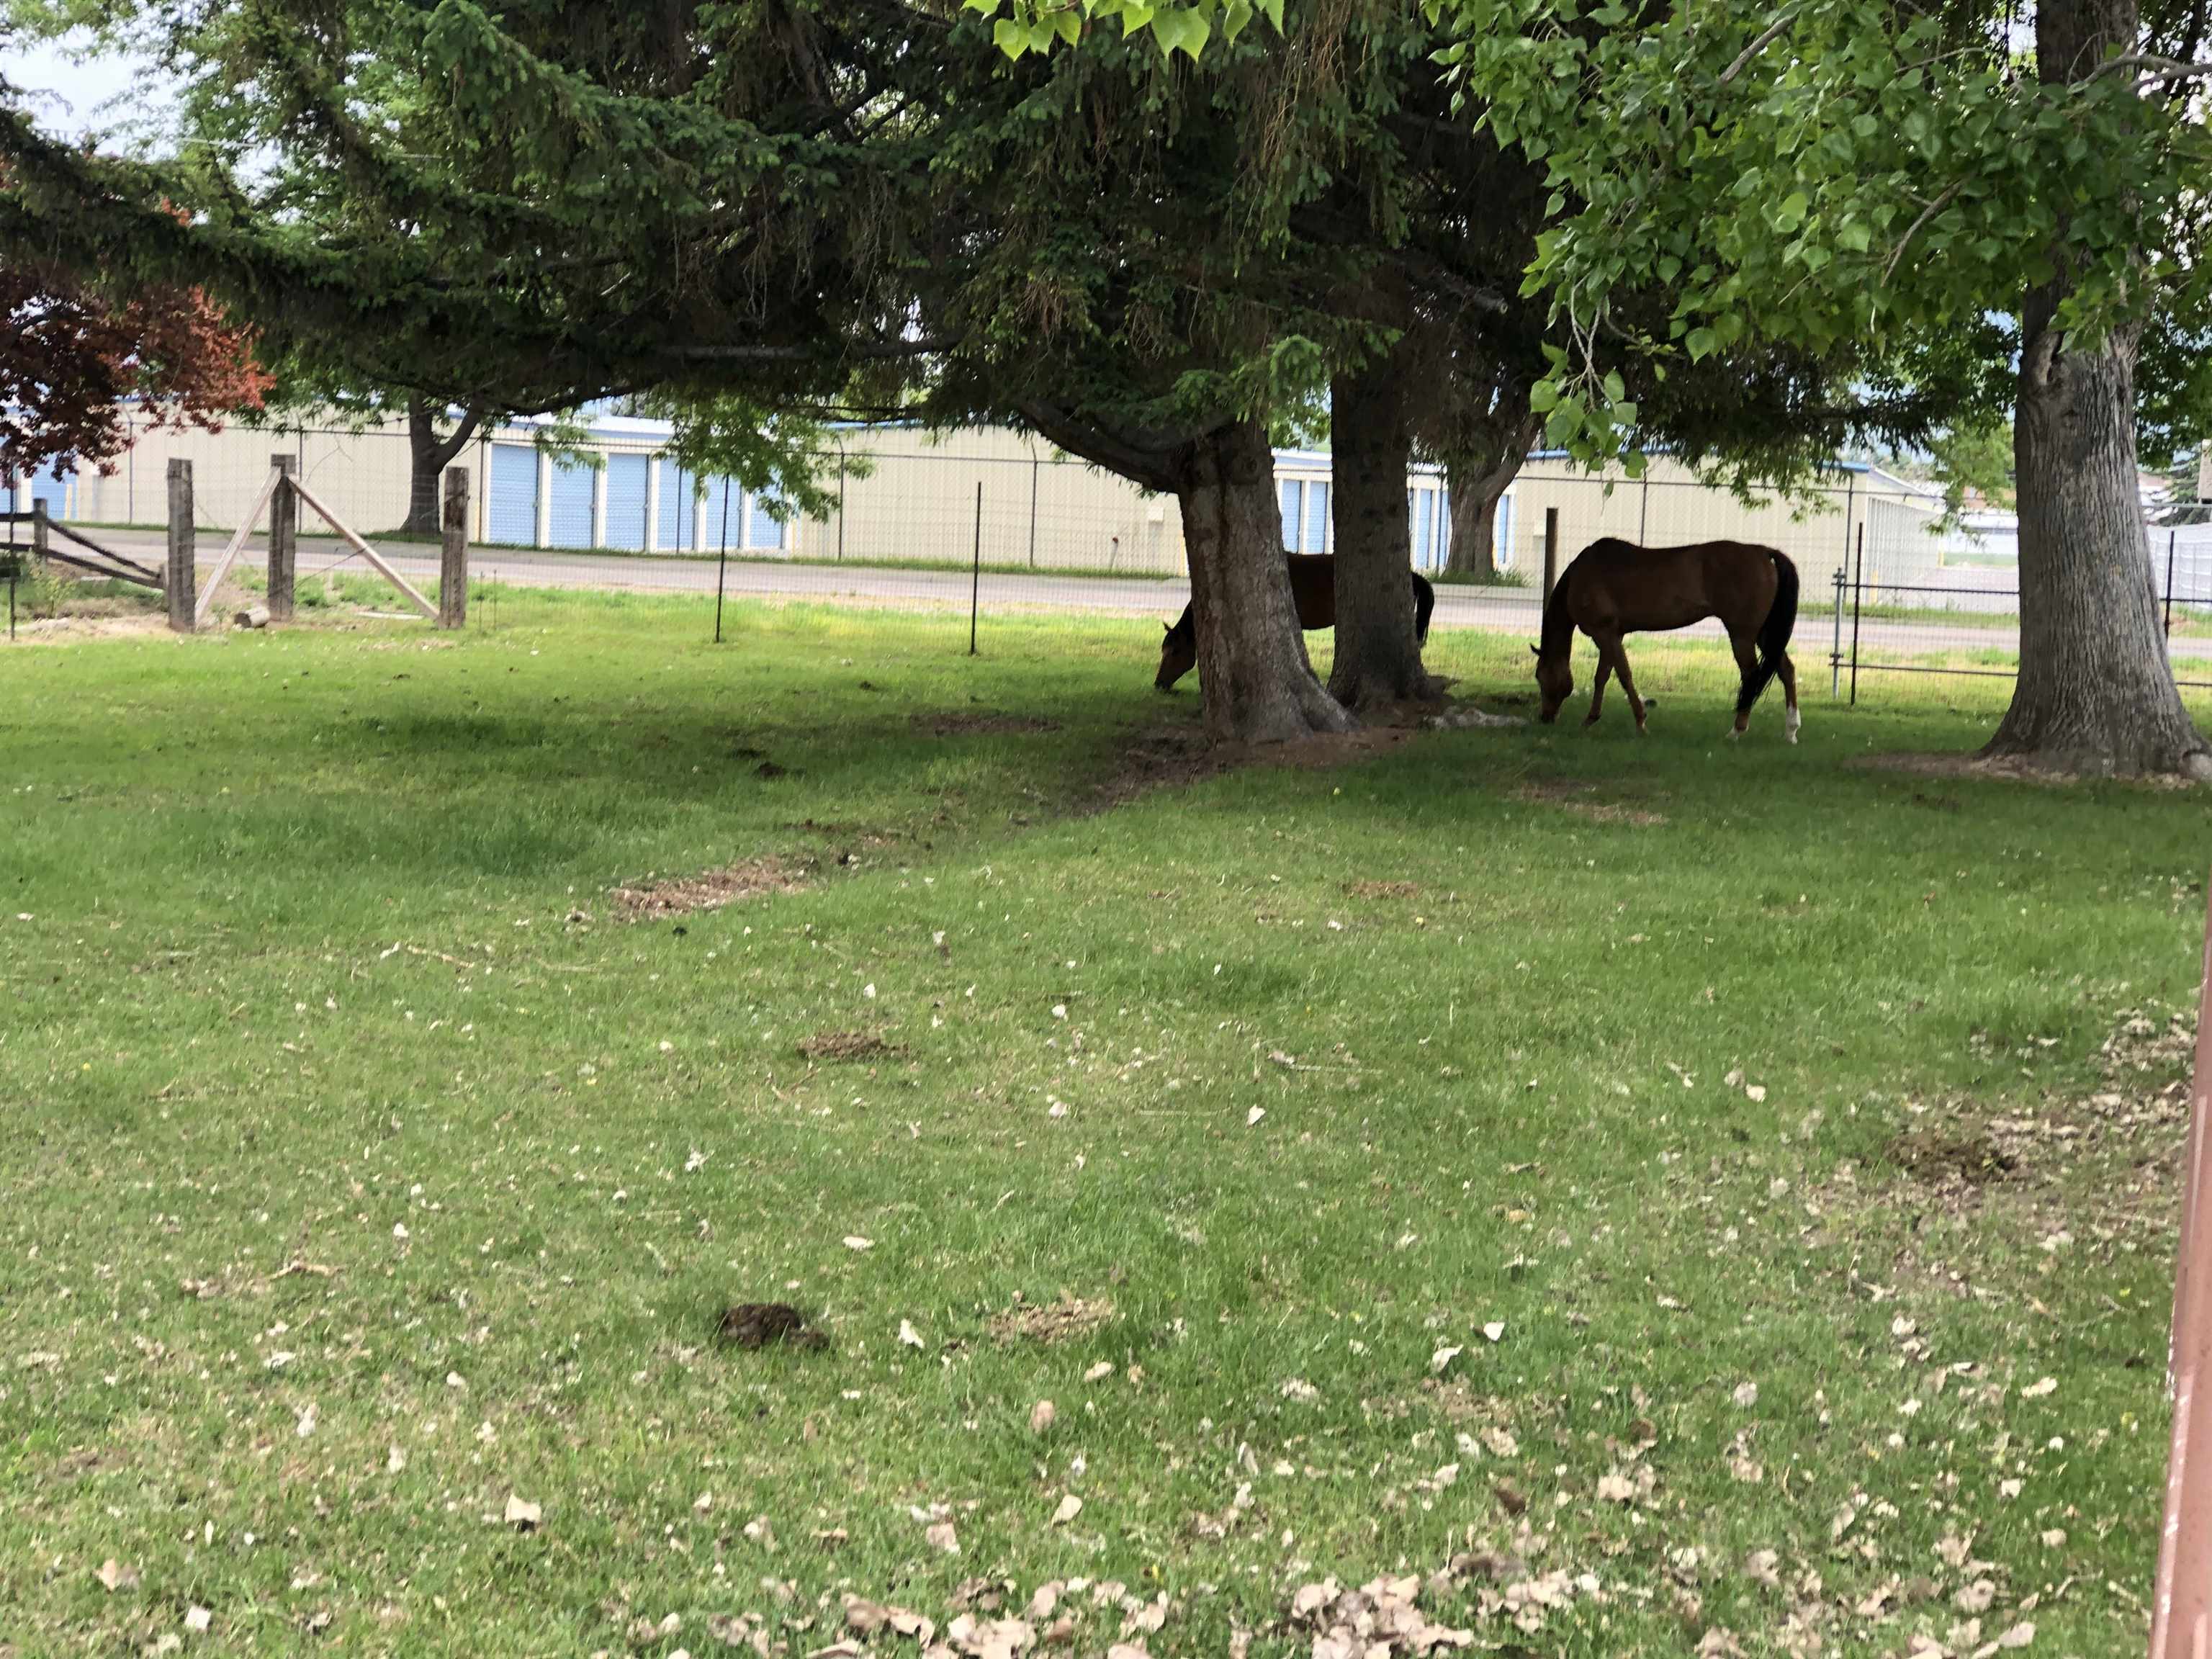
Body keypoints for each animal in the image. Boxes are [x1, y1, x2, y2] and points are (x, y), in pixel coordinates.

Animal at [1539, 539, 1796, 739]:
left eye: (1540, 677)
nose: (1545, 718)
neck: (1583, 574)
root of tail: (1762, 551)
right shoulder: (1612, 634)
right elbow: (1603, 676)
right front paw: (1591, 720)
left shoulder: (1603, 633)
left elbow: (1623, 675)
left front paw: (1641, 722)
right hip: (1763, 634)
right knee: (1786, 669)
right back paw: (1791, 730)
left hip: (1742, 635)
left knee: (1751, 675)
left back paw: (1737, 730)